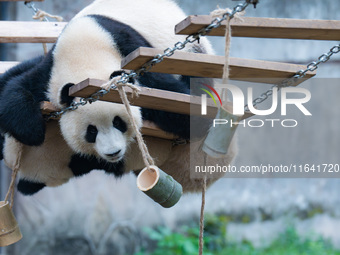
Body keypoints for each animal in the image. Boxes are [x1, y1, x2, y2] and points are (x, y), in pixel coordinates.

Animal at [0, 0, 236, 195]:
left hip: (193, 54)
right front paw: (32, 130)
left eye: (119, 122)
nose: (113, 152)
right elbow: (18, 89)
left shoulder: (134, 52)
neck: (85, 56)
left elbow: (184, 109)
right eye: (91, 132)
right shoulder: (50, 70)